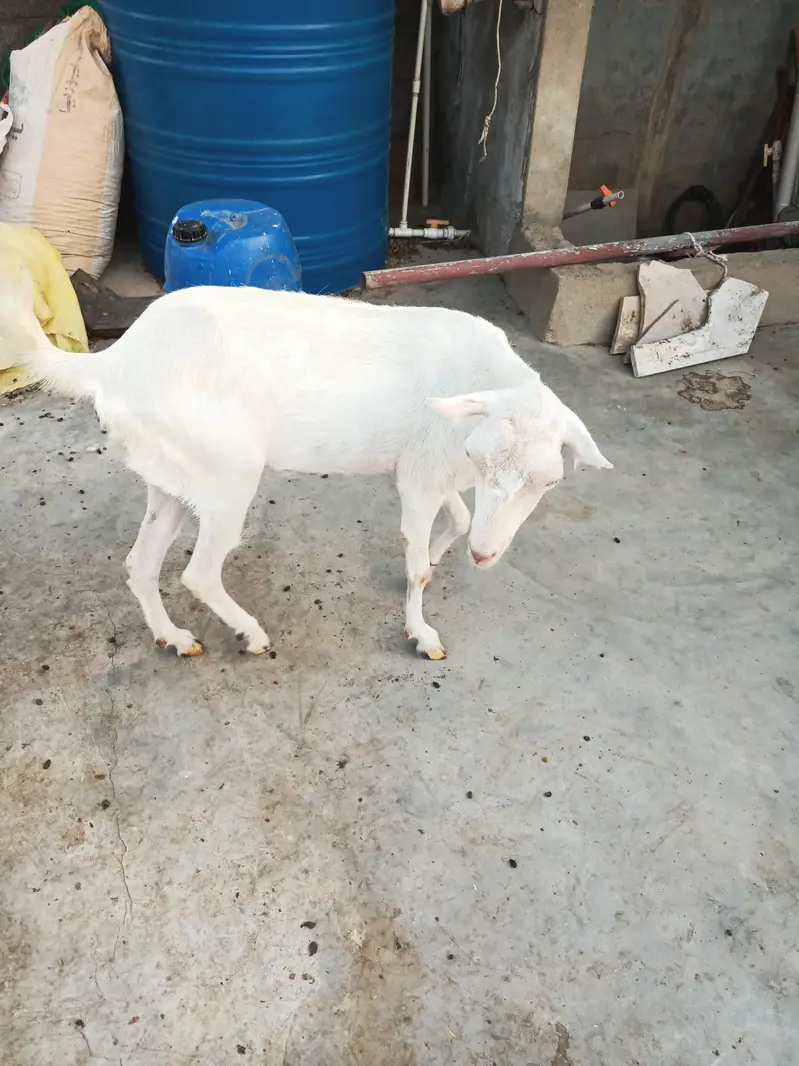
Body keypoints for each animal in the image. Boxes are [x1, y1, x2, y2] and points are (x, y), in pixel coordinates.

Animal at [0, 277, 612, 660]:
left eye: (550, 481)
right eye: (480, 457)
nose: (486, 557)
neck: (483, 377)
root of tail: (115, 361)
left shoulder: (434, 472)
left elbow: (457, 523)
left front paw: (437, 558)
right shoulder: (422, 476)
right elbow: (421, 564)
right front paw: (420, 633)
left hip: (171, 472)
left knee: (140, 564)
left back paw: (174, 638)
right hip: (227, 473)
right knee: (199, 571)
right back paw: (252, 635)